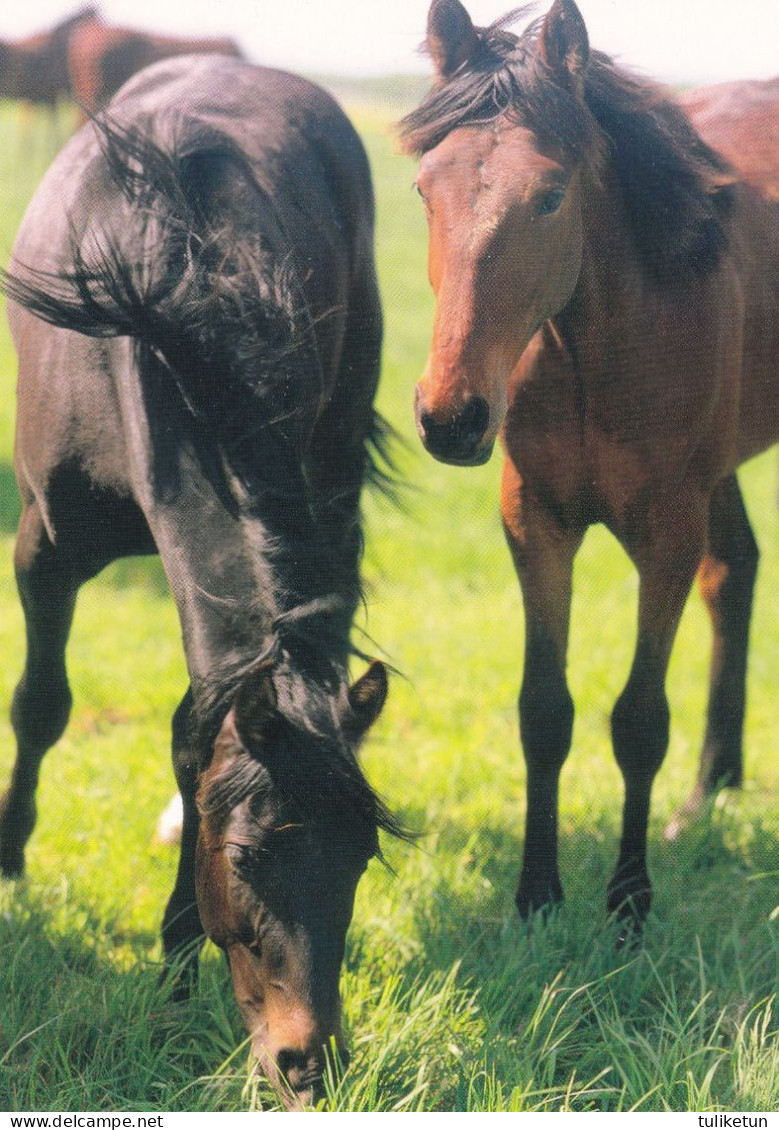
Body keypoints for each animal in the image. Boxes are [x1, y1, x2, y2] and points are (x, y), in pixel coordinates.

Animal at [4, 53, 407, 1102]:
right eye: (249, 857)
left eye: (360, 860)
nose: (309, 1064)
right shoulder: (43, 548)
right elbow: (42, 706)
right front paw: (11, 856)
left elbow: (196, 733)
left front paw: (177, 948)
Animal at [404, 0, 773, 935]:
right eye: (424, 189)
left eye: (549, 195)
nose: (451, 416)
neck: (596, 348)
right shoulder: (535, 522)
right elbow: (544, 709)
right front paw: (536, 894)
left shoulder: (665, 533)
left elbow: (638, 719)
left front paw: (629, 904)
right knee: (736, 572)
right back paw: (709, 794)